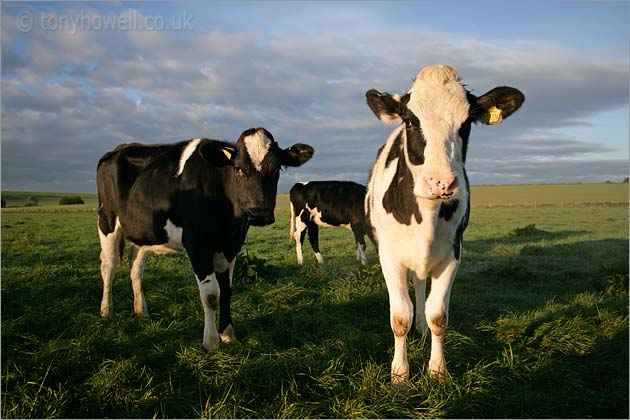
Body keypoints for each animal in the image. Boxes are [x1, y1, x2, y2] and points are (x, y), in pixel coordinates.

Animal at [97, 127, 314, 352]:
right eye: (238, 168)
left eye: (277, 169)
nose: (259, 214)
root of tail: (120, 148)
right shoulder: (197, 244)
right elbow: (211, 295)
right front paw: (210, 342)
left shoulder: (231, 246)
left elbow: (226, 290)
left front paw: (228, 334)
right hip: (107, 219)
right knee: (109, 264)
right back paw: (106, 310)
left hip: (144, 231)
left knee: (135, 266)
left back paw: (141, 311)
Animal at [362, 63, 524, 384]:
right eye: (409, 120)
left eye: (467, 122)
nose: (440, 183)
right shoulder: (389, 256)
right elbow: (399, 316)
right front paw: (399, 374)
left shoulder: (452, 253)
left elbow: (437, 314)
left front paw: (437, 370)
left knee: (421, 286)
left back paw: (421, 327)